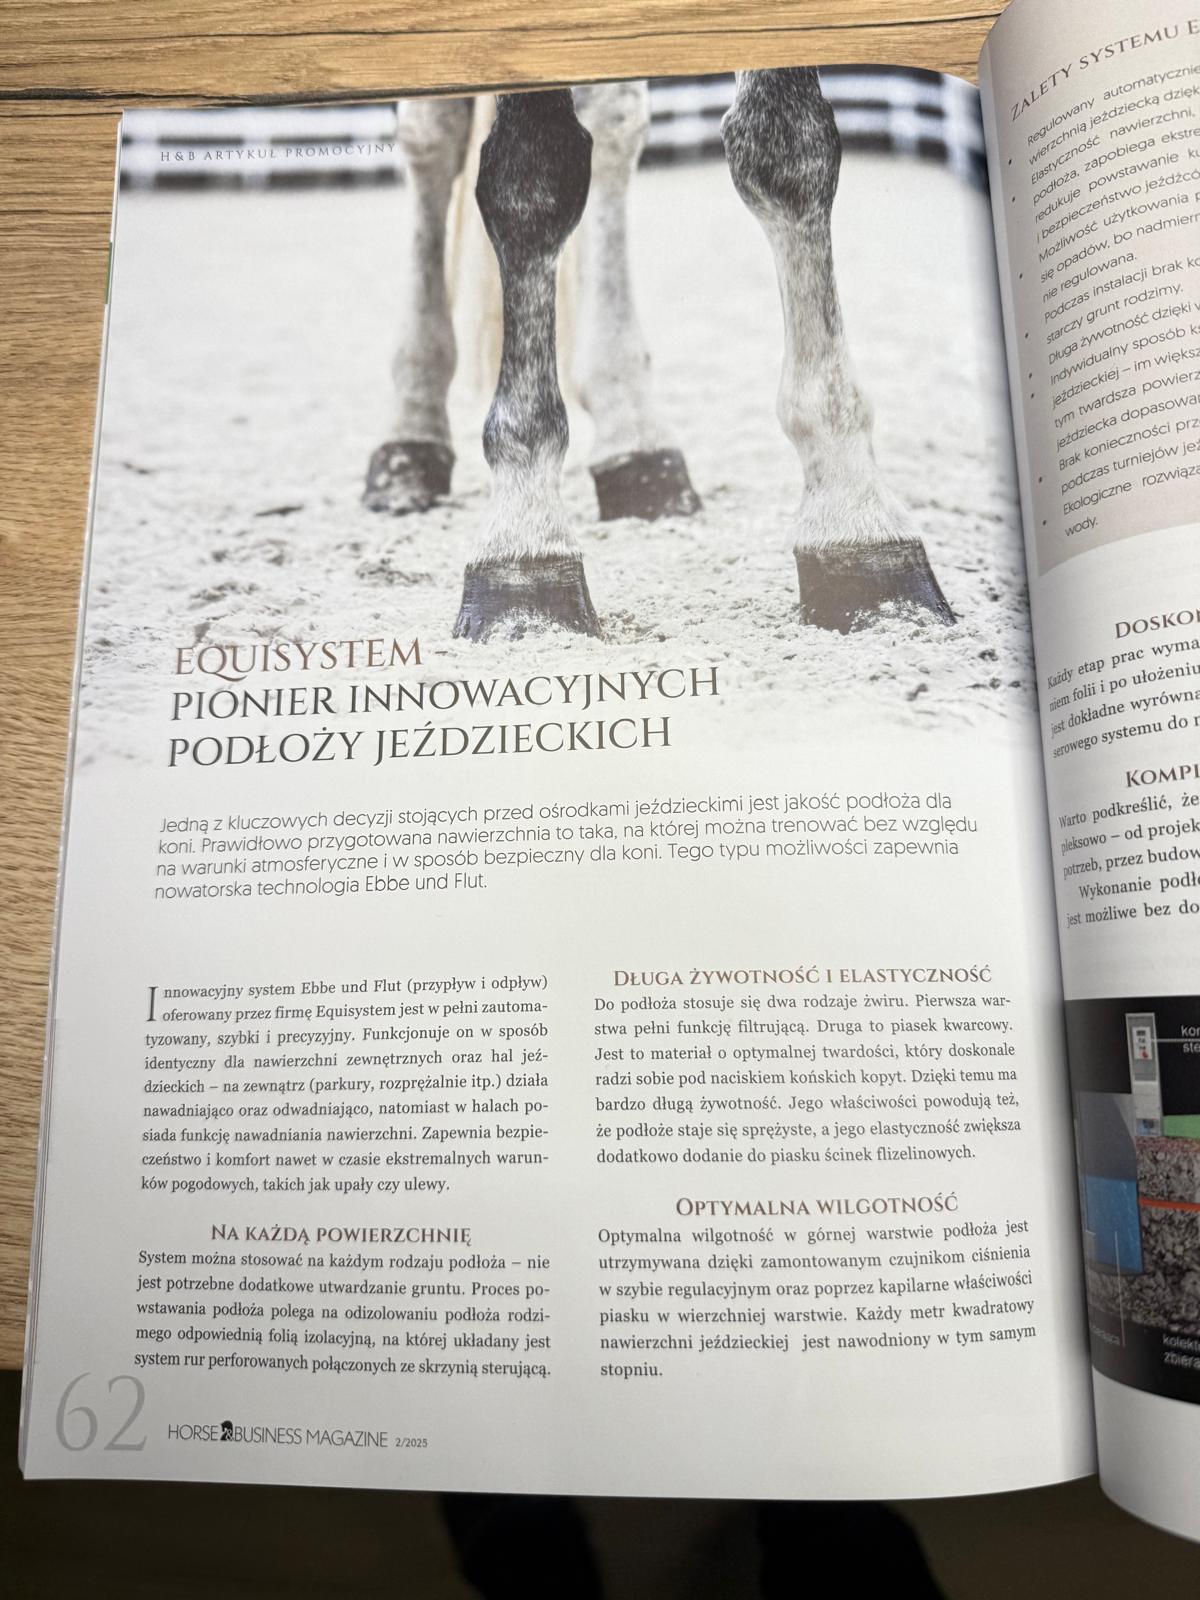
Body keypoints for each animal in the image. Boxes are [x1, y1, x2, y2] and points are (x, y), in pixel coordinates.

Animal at [362, 70, 955, 640]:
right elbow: (532, 178)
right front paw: (525, 541)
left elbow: (788, 147)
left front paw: (857, 524)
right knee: (430, 132)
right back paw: (410, 435)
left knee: (613, 118)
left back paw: (635, 436)